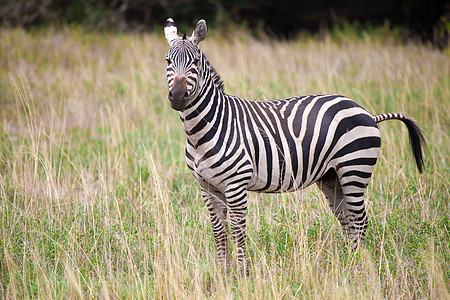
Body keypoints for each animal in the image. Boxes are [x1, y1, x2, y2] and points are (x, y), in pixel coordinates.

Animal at [163, 17, 424, 274]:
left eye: (195, 62)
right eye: (168, 61)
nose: (178, 97)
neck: (202, 132)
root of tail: (367, 112)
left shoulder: (236, 185)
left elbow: (238, 231)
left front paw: (243, 275)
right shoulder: (206, 187)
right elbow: (219, 232)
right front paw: (223, 275)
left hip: (355, 168)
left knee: (360, 220)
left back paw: (359, 268)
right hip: (332, 176)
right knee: (348, 220)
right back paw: (349, 266)